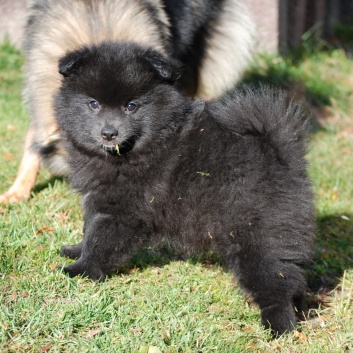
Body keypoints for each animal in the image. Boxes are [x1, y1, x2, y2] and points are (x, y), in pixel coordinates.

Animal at [55, 42, 316, 334]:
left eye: (131, 106)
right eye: (94, 104)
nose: (109, 133)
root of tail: (281, 156)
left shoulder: (123, 212)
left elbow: (100, 241)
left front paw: (80, 269)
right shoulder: (98, 200)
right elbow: (89, 228)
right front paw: (75, 250)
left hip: (258, 237)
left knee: (274, 281)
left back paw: (278, 326)